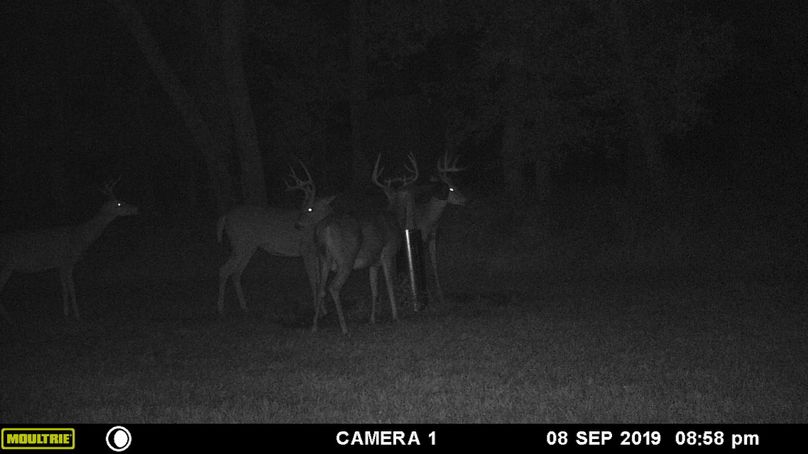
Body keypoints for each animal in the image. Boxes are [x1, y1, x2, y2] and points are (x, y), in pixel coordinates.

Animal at [0, 178, 139, 321]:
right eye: (119, 203)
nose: (136, 208)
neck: (80, 238)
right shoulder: (67, 261)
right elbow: (71, 287)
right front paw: (75, 314)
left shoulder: (61, 265)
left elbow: (64, 287)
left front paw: (66, 312)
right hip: (7, 264)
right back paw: (8, 318)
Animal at [295, 159, 406, 334]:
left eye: (308, 208)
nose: (297, 224)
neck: (394, 218)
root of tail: (325, 228)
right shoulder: (388, 253)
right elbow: (390, 284)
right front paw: (396, 317)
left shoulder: (373, 262)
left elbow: (374, 289)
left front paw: (372, 319)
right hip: (346, 258)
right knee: (334, 287)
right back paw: (345, 328)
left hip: (323, 259)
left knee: (320, 288)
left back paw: (314, 326)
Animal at [372, 151, 467, 306]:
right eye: (451, 188)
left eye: (456, 184)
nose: (465, 200)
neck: (427, 218)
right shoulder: (417, 237)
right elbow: (421, 264)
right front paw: (425, 296)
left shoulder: (432, 236)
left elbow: (434, 264)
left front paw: (440, 295)